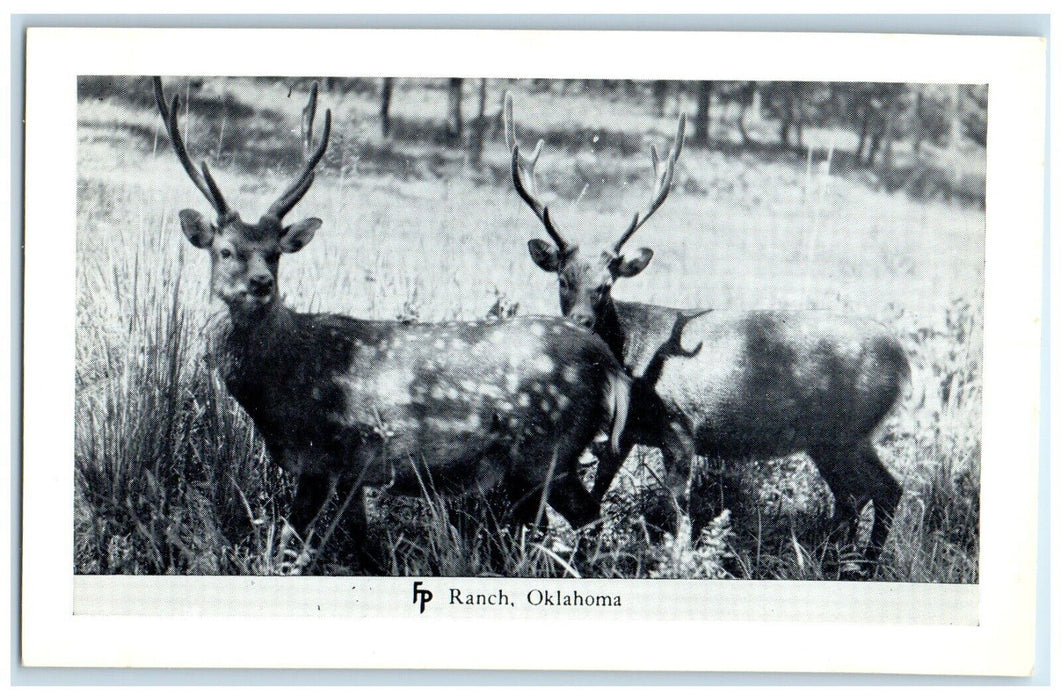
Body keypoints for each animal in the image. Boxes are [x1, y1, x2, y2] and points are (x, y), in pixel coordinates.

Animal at [152, 77, 631, 572]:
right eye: (225, 250)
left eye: (274, 253)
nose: (262, 282)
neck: (281, 387)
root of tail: (610, 364)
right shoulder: (354, 471)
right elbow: (361, 541)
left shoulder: (324, 455)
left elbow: (287, 543)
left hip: (546, 451)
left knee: (582, 523)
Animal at [504, 93, 909, 574]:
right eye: (563, 280)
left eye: (606, 285)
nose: (580, 322)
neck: (635, 359)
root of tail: (906, 363)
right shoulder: (625, 435)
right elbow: (598, 496)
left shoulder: (681, 425)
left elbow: (678, 509)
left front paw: (679, 560)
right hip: (828, 439)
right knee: (852, 496)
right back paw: (832, 560)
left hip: (849, 428)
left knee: (885, 489)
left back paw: (864, 565)